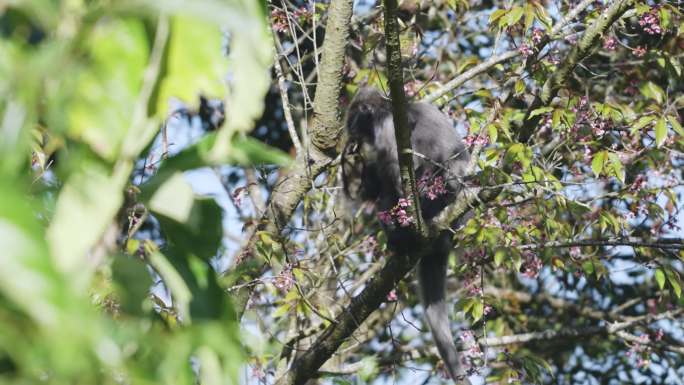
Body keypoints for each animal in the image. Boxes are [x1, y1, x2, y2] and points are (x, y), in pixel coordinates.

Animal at [342, 86, 470, 380]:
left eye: (354, 117)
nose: (349, 129)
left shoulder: (387, 126)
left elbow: (394, 175)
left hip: (434, 199)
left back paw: (402, 237)